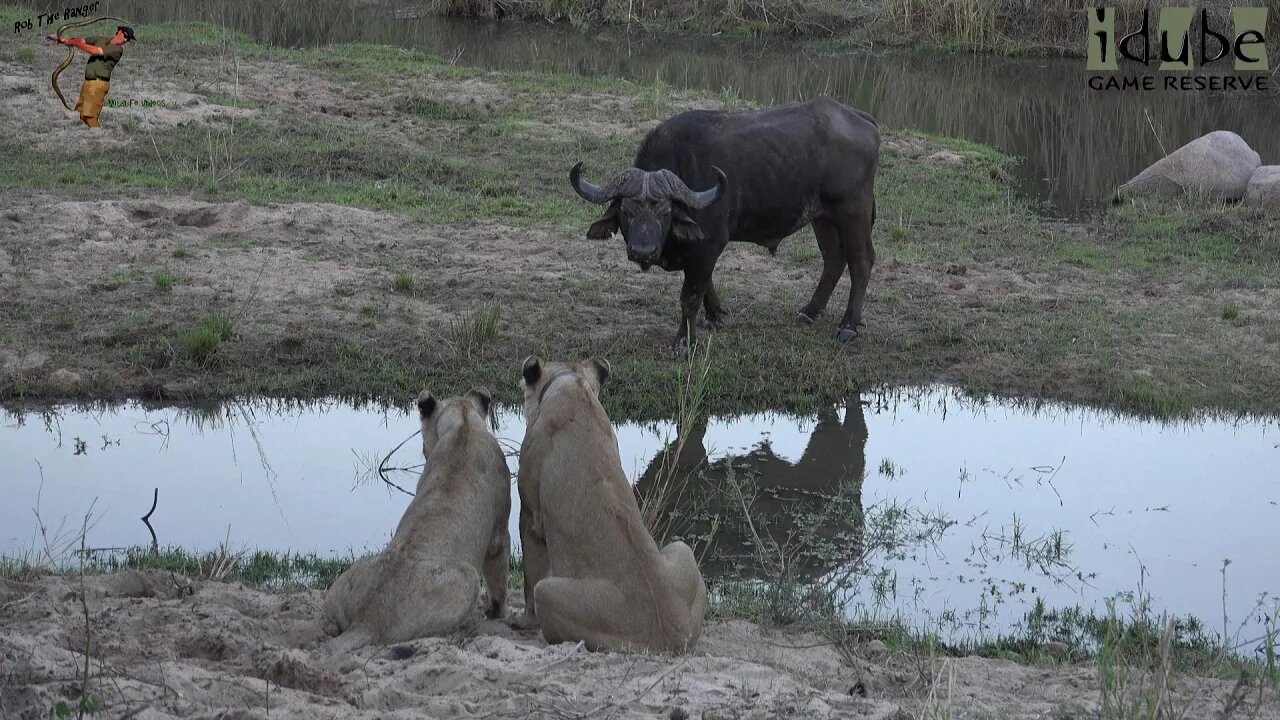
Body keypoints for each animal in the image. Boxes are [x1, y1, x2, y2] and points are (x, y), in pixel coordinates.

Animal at [320, 386, 509, 650]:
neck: (464, 424)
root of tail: (368, 619)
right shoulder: (499, 532)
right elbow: (499, 579)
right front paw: (497, 613)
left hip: (349, 576)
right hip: (468, 577)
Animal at [512, 356, 711, 653]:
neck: (572, 382)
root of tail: (674, 636)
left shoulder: (530, 515)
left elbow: (528, 576)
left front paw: (523, 621)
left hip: (549, 593)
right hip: (681, 548)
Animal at [570, 96, 880, 348]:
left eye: (665, 211)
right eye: (627, 211)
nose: (642, 251)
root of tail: (860, 118)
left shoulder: (709, 244)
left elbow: (691, 294)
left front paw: (684, 340)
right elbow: (706, 283)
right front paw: (716, 315)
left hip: (853, 212)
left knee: (861, 261)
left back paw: (848, 326)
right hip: (822, 218)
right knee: (833, 259)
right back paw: (810, 311)